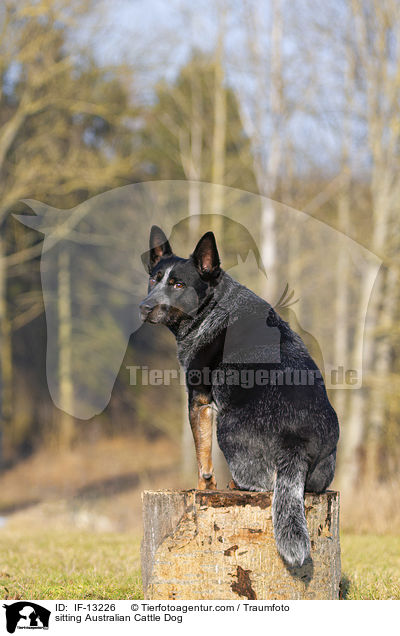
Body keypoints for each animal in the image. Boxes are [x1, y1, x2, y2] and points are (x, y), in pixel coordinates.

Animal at [139, 227, 340, 568]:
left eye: (178, 284)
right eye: (154, 279)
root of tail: (296, 443)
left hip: (228, 427)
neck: (214, 304)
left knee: (260, 484)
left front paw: (203, 488)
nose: (144, 307)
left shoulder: (199, 400)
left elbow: (203, 459)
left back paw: (235, 484)